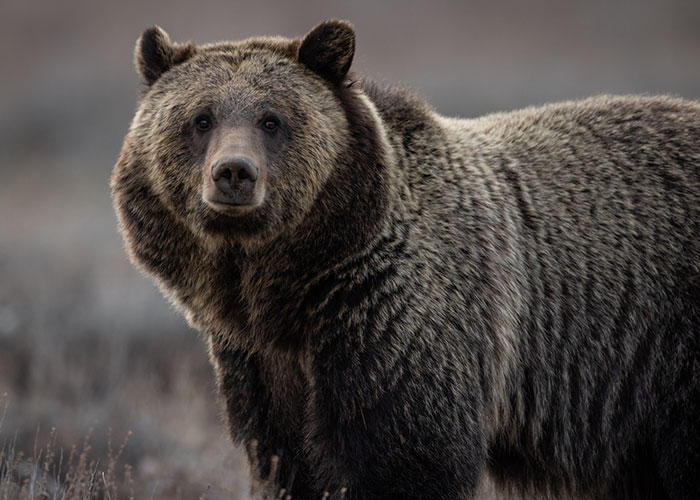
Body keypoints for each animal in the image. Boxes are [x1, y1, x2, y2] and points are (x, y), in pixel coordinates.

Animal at [111, 19, 700, 500]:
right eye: (201, 118)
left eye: (272, 119)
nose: (233, 173)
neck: (294, 284)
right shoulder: (261, 361)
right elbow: (286, 461)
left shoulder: (396, 321)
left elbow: (404, 458)